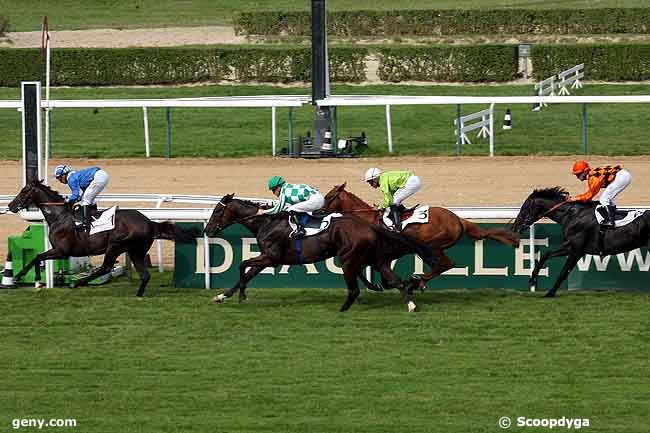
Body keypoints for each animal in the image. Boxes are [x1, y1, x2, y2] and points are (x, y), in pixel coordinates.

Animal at [7, 177, 196, 296]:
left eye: (24, 190)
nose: (10, 205)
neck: (59, 216)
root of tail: (149, 222)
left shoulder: (62, 250)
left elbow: (37, 257)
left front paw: (23, 278)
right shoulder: (60, 251)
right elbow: (37, 258)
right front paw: (34, 280)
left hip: (115, 245)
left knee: (105, 268)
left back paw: (77, 283)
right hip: (136, 251)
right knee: (144, 275)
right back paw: (139, 294)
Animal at [205, 192, 440, 310]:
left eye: (217, 211)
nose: (207, 230)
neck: (266, 222)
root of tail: (367, 225)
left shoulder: (270, 257)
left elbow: (242, 265)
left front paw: (241, 295)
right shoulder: (268, 259)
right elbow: (246, 274)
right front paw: (223, 296)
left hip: (347, 259)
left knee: (355, 288)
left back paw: (345, 307)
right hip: (372, 258)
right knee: (393, 279)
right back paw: (410, 303)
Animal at [322, 181, 520, 288]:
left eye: (328, 197)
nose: (319, 210)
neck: (366, 218)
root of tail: (458, 219)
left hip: (431, 245)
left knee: (445, 264)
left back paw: (418, 281)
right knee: (442, 265)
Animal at [512, 186, 648, 296]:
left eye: (524, 208)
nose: (514, 226)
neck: (572, 215)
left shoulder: (577, 250)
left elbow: (564, 272)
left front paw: (550, 293)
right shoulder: (571, 246)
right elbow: (546, 254)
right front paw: (532, 279)